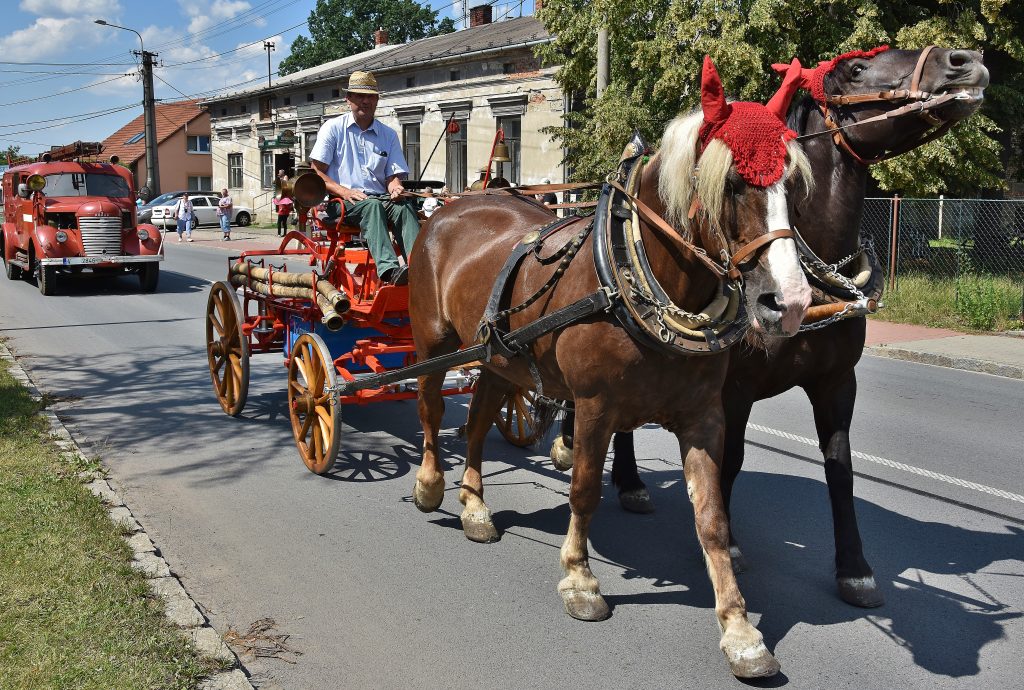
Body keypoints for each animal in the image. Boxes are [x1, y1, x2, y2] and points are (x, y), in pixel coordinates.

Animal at [409, 57, 815, 671]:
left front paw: (740, 628)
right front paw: (580, 580)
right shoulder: (595, 407)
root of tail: (450, 207)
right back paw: (431, 484)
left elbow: (713, 519)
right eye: (733, 183)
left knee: (477, 419)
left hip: (499, 357)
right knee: (432, 409)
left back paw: (475, 506)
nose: (788, 303)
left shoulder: (705, 416)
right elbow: (583, 490)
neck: (635, 276)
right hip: (434, 342)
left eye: (791, 185)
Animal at [593, 48, 991, 606]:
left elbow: (840, 467)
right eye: (856, 69)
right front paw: (729, 544)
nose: (965, 60)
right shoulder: (732, 390)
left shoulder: (836, 382)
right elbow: (730, 460)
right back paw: (627, 481)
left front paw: (855, 568)